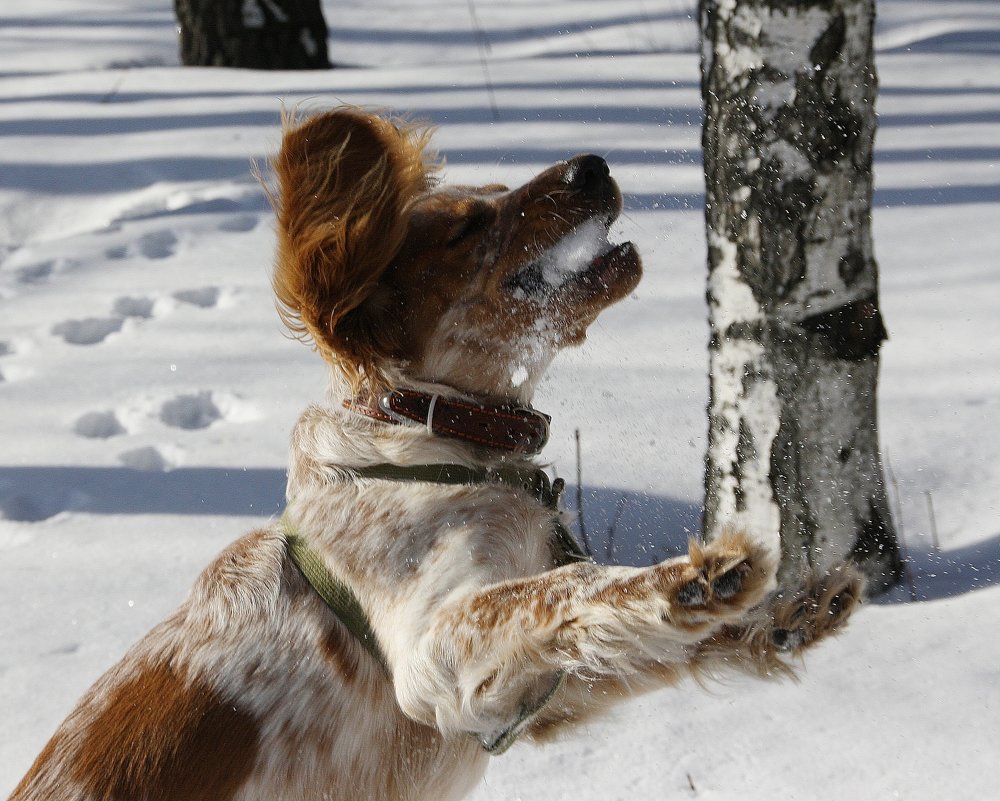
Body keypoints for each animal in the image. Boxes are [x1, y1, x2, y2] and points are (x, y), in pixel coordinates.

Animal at [9, 108, 860, 800]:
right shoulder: (430, 657)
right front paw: (692, 580)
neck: (434, 436)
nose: (593, 165)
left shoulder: (518, 700)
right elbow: (564, 586)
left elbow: (610, 635)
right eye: (467, 227)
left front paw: (785, 610)